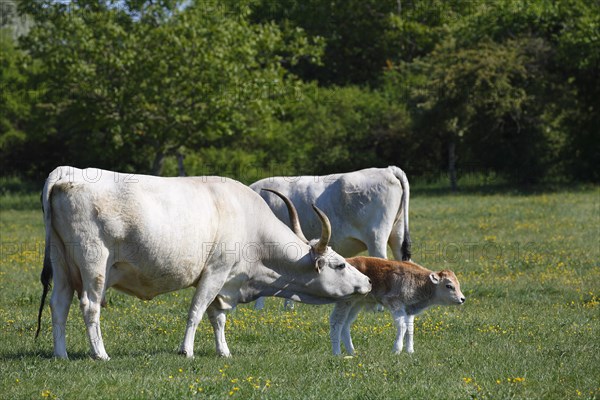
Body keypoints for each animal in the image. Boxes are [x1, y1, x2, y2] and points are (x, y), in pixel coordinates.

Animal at [36, 167, 370, 360]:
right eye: (340, 265)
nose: (367, 281)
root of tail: (67, 173)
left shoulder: (225, 282)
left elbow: (216, 317)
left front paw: (224, 351)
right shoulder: (215, 272)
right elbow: (196, 312)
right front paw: (187, 351)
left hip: (62, 263)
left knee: (59, 304)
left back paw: (61, 354)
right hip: (94, 264)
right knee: (89, 305)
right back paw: (101, 354)